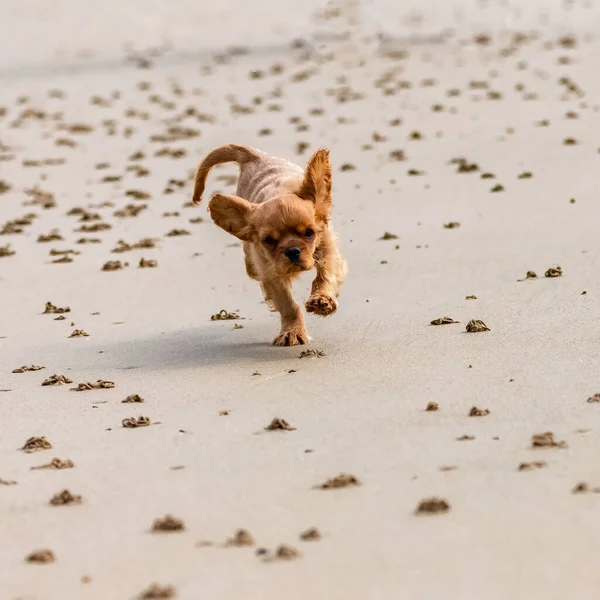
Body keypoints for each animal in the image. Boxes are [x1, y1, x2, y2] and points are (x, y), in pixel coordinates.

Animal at [192, 142, 346, 344]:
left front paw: (322, 300)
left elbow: (325, 274)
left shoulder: (326, 246)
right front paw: (292, 332)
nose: (292, 251)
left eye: (309, 233)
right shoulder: (270, 272)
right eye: (269, 240)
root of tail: (255, 156)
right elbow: (288, 304)